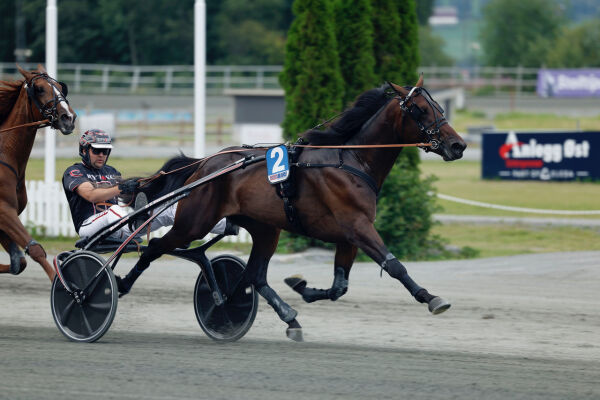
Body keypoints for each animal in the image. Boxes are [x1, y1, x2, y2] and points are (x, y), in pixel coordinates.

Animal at [0, 65, 77, 282]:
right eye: (40, 89)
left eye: (60, 86)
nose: (69, 117)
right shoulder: (4, 211)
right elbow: (35, 251)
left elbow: (19, 262)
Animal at [118, 76, 464, 340]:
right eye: (420, 109)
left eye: (439, 107)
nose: (458, 145)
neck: (351, 160)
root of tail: (204, 165)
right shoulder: (358, 227)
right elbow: (394, 266)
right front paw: (431, 298)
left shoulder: (348, 235)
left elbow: (339, 286)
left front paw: (302, 287)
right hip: (193, 223)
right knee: (155, 247)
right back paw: (119, 285)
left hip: (265, 228)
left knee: (255, 276)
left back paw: (272, 313)